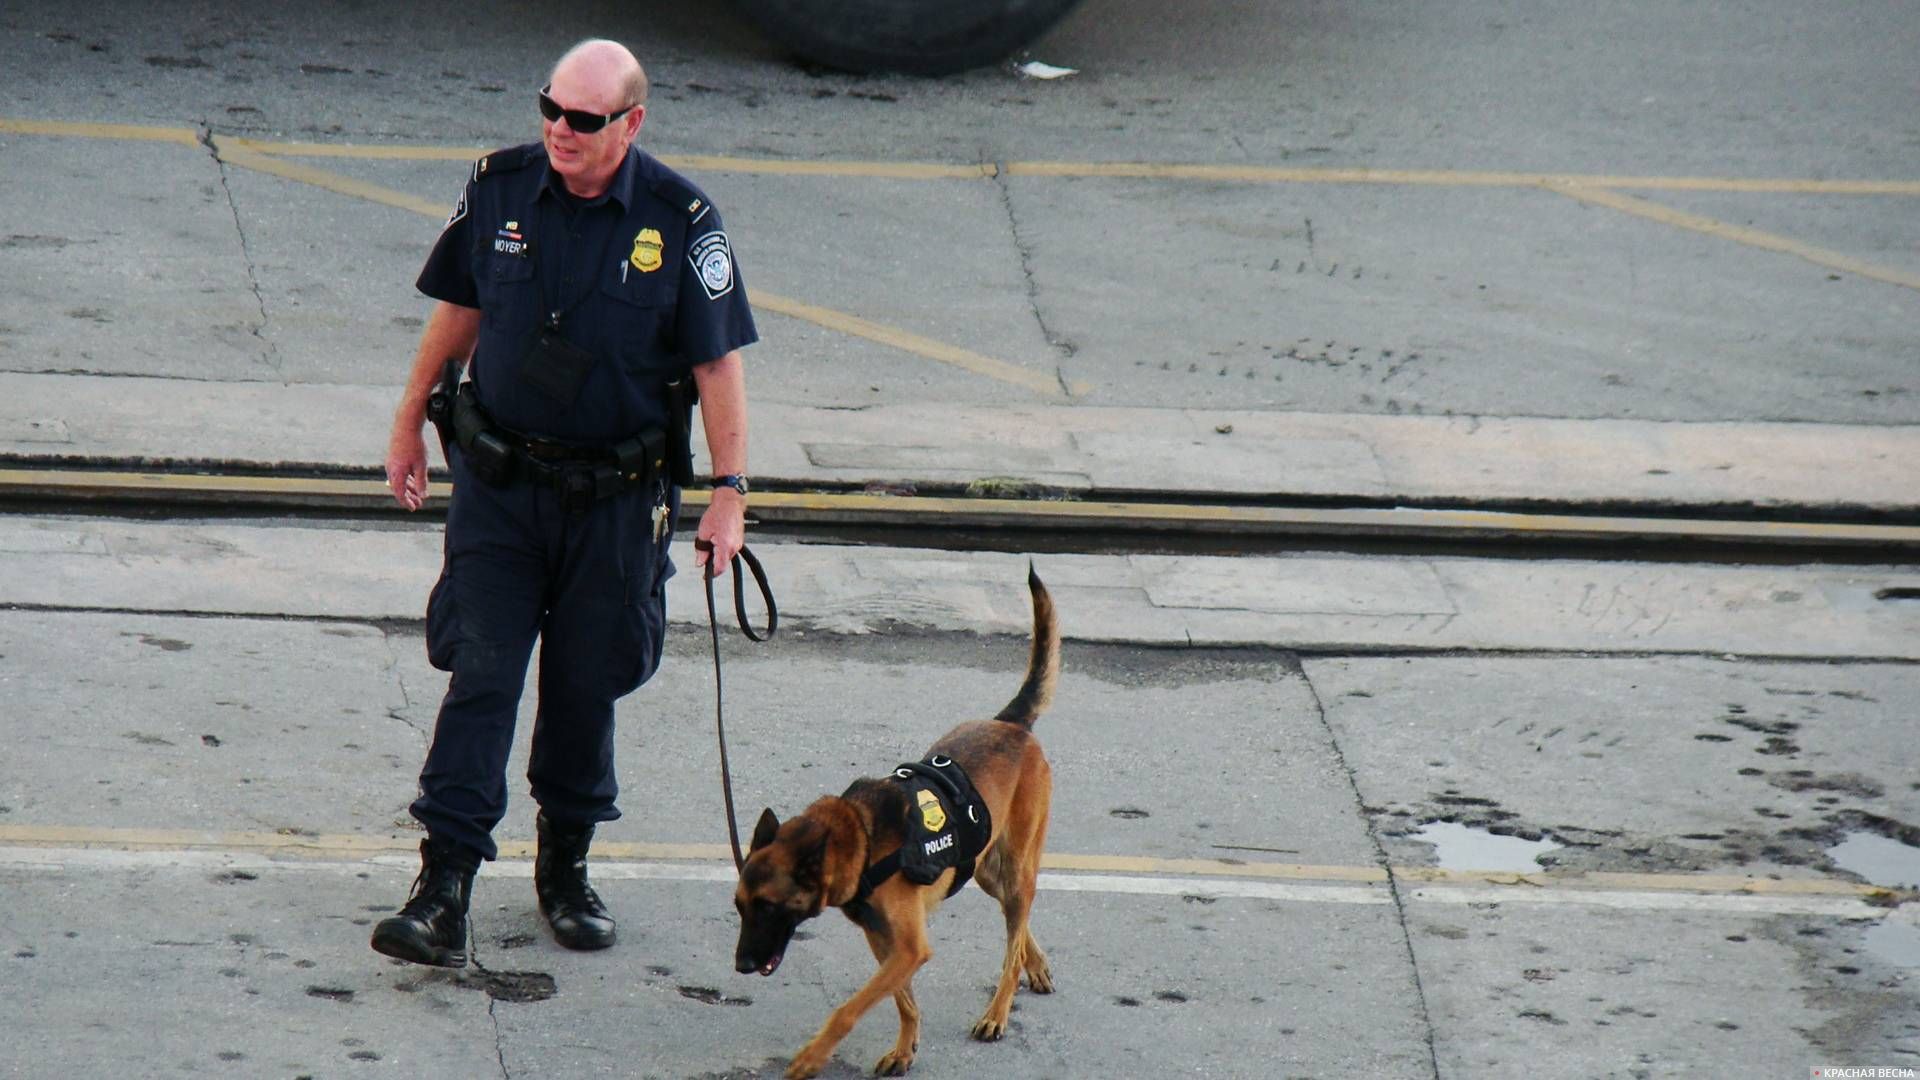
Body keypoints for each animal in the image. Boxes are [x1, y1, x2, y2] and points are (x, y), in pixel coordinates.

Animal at [733, 566, 1060, 1078]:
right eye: (739, 907)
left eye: (767, 907)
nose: (742, 965)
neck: (860, 840)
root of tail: (1010, 723)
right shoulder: (886, 942)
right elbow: (903, 1001)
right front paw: (906, 1049)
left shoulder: (907, 948)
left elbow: (849, 1008)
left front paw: (812, 1056)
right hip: (984, 870)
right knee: (1018, 922)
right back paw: (1037, 964)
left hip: (1014, 868)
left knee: (1010, 948)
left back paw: (997, 1013)